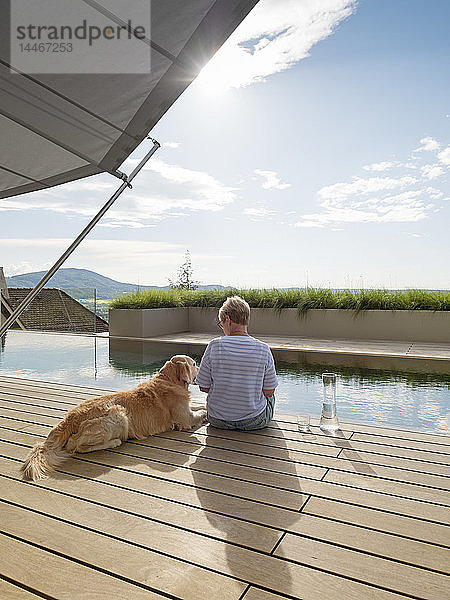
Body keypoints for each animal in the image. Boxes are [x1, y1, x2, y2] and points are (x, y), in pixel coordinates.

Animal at [19, 354, 206, 480]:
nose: (201, 370)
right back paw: (114, 442)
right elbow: (201, 413)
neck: (170, 380)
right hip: (119, 415)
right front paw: (205, 416)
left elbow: (200, 406)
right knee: (78, 446)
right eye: (194, 364)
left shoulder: (187, 409)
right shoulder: (185, 419)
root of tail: (69, 419)